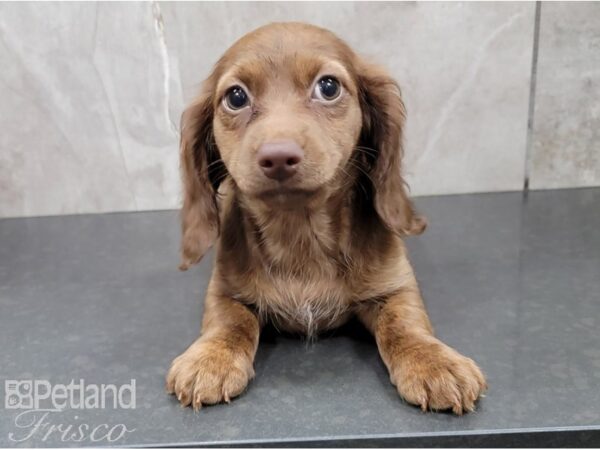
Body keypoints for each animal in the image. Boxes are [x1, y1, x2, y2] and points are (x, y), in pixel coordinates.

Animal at [166, 22, 486, 414]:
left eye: (328, 87)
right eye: (236, 97)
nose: (278, 157)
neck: (300, 232)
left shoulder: (396, 287)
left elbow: (404, 323)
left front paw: (433, 361)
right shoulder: (224, 289)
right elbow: (229, 320)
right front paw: (211, 358)